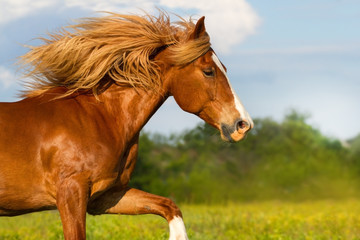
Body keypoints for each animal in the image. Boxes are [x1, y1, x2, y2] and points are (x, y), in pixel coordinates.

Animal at [0, 13, 253, 240]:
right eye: (208, 71)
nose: (243, 124)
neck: (101, 117)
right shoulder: (71, 194)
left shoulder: (106, 196)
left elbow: (169, 206)